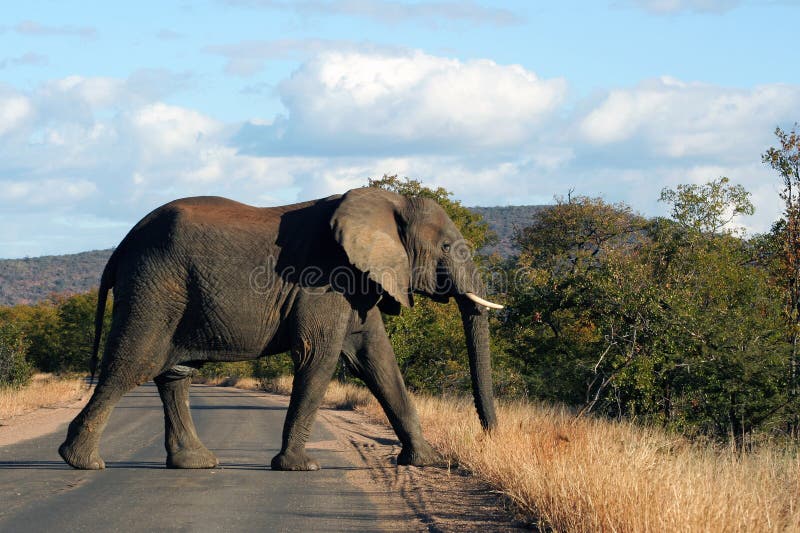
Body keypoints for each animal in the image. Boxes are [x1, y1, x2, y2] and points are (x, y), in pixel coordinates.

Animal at [58, 187, 502, 471]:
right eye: (446, 247)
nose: (489, 438)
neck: (389, 201)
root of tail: (122, 243)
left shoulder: (358, 282)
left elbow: (377, 360)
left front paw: (425, 462)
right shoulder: (324, 278)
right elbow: (319, 355)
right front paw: (300, 467)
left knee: (174, 374)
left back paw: (196, 464)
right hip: (154, 287)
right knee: (132, 364)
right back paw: (82, 462)